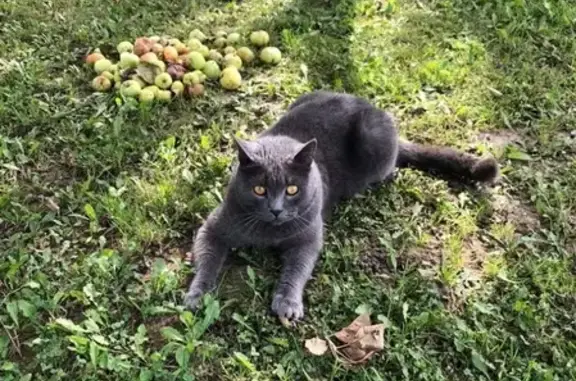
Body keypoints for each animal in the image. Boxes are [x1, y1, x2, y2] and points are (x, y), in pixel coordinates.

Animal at [182, 90, 498, 320]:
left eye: (292, 189)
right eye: (259, 190)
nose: (276, 209)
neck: (268, 233)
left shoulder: (308, 237)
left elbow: (297, 270)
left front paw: (287, 302)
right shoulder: (215, 227)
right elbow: (207, 259)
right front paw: (196, 295)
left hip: (373, 139)